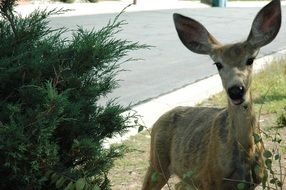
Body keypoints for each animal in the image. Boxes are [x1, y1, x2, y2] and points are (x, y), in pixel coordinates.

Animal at [142, 0, 280, 190]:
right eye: (218, 64)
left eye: (250, 60)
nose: (236, 90)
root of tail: (157, 121)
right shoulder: (209, 179)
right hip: (157, 162)